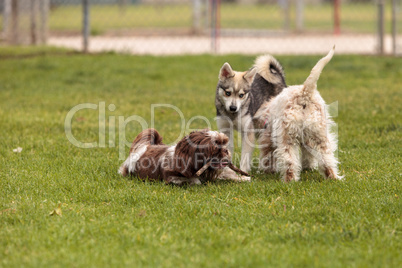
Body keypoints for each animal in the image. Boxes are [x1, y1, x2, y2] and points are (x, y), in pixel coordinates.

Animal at [118, 129, 248, 185]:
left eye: (224, 143)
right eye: (216, 149)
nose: (226, 150)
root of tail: (143, 148)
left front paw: (243, 178)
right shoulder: (172, 178)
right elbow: (194, 180)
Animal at [258, 47, 342, 182]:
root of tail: (305, 93)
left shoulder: (269, 137)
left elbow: (268, 154)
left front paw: (267, 170)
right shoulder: (308, 141)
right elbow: (308, 156)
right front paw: (308, 167)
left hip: (287, 139)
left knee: (289, 161)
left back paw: (289, 180)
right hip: (320, 136)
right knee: (327, 160)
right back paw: (332, 177)